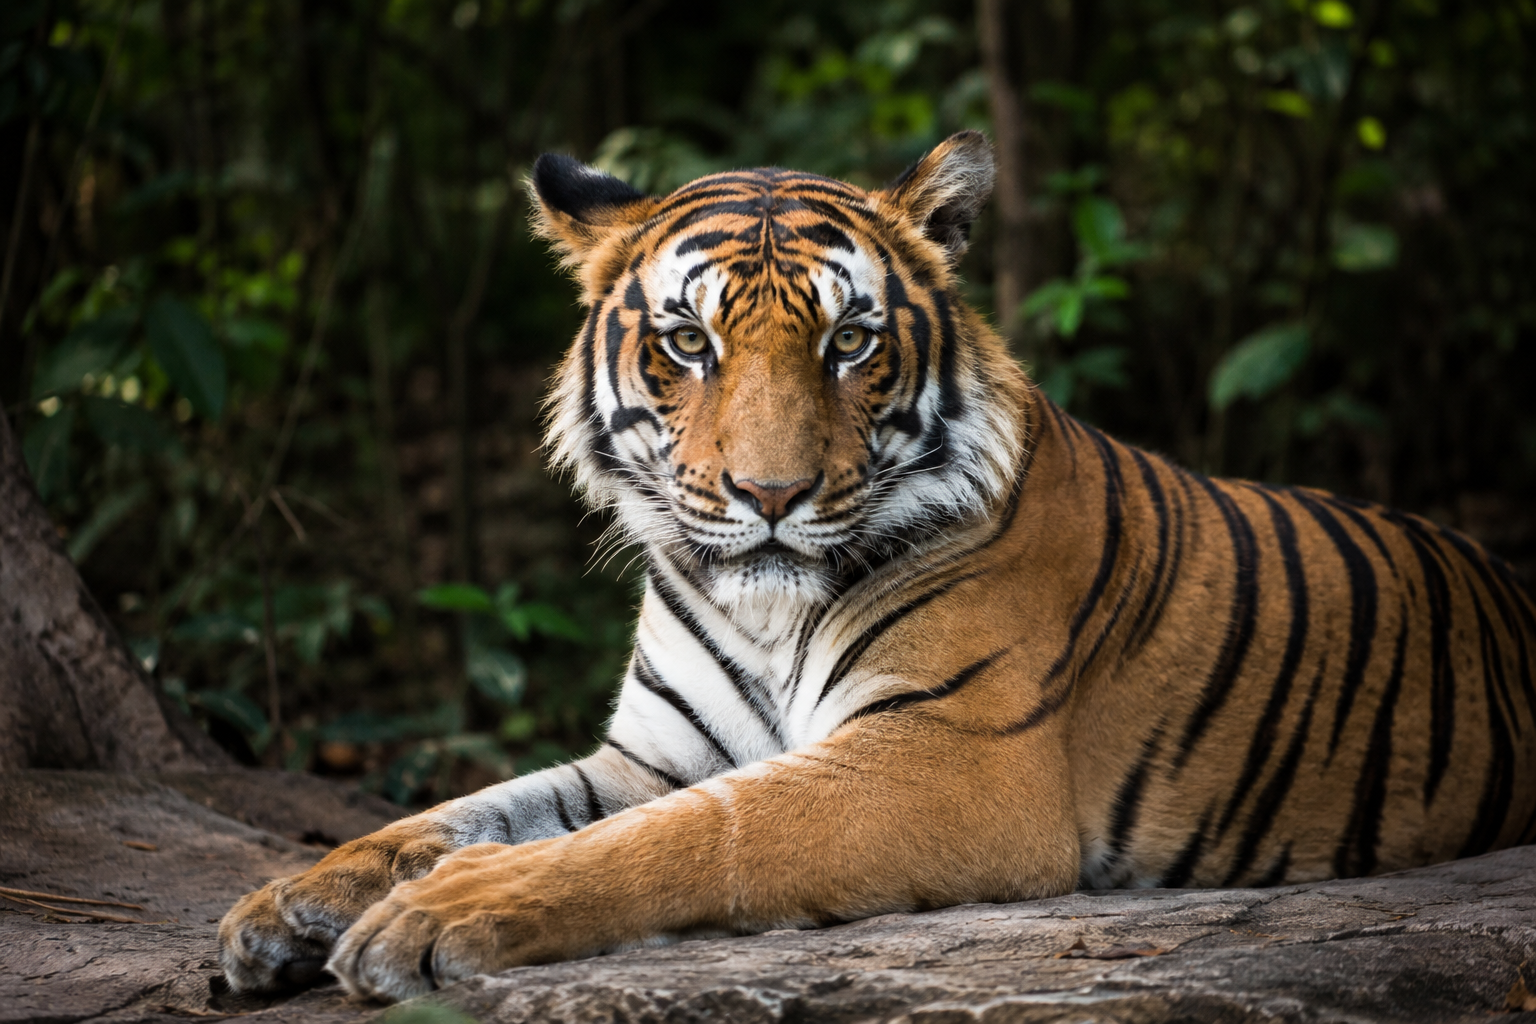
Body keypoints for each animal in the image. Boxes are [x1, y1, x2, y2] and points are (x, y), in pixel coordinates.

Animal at [219, 130, 1536, 1003]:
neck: (758, 616)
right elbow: (456, 810)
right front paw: (282, 906)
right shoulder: (653, 754)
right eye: (687, 342)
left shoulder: (951, 760)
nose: (769, 496)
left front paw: (446, 912)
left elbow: (693, 833)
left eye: (849, 341)